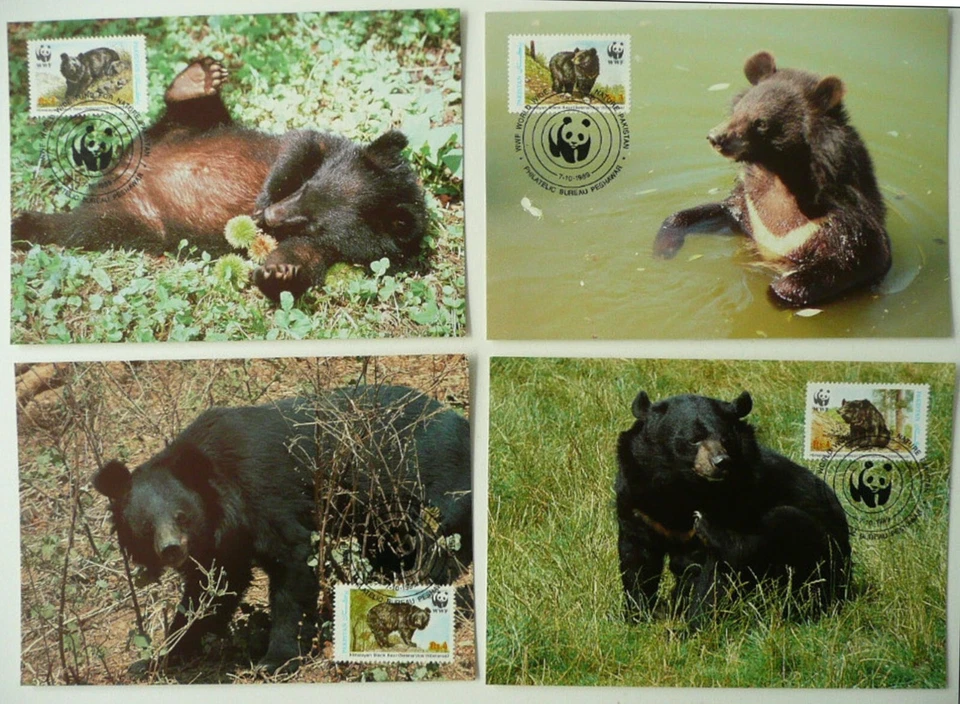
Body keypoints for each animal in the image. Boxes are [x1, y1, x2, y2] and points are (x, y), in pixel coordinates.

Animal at [14, 57, 429, 302]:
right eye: (306, 188)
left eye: (313, 223)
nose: (269, 217)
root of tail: (118, 171)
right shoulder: (329, 145)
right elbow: (299, 142)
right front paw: (263, 198)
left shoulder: (334, 250)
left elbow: (303, 260)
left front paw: (279, 272)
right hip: (192, 131)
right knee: (194, 112)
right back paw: (197, 79)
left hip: (131, 219)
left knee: (80, 228)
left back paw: (27, 223)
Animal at [91, 385, 472, 673]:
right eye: (144, 526)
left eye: (182, 515)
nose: (172, 549)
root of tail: (461, 421)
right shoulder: (221, 543)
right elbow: (211, 592)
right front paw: (157, 659)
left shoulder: (263, 498)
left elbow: (293, 564)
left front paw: (275, 660)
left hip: (432, 486)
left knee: (440, 547)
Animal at [615, 390, 851, 629]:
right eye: (694, 439)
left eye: (726, 440)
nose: (721, 462)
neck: (684, 486)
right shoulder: (639, 504)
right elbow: (638, 561)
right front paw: (637, 616)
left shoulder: (736, 502)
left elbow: (712, 575)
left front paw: (693, 626)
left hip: (822, 552)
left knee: (778, 527)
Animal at [653, 51, 891, 308]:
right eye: (737, 110)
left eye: (760, 122)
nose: (715, 137)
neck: (781, 174)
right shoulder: (749, 207)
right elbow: (709, 212)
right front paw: (663, 248)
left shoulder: (842, 221)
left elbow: (855, 258)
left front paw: (778, 288)